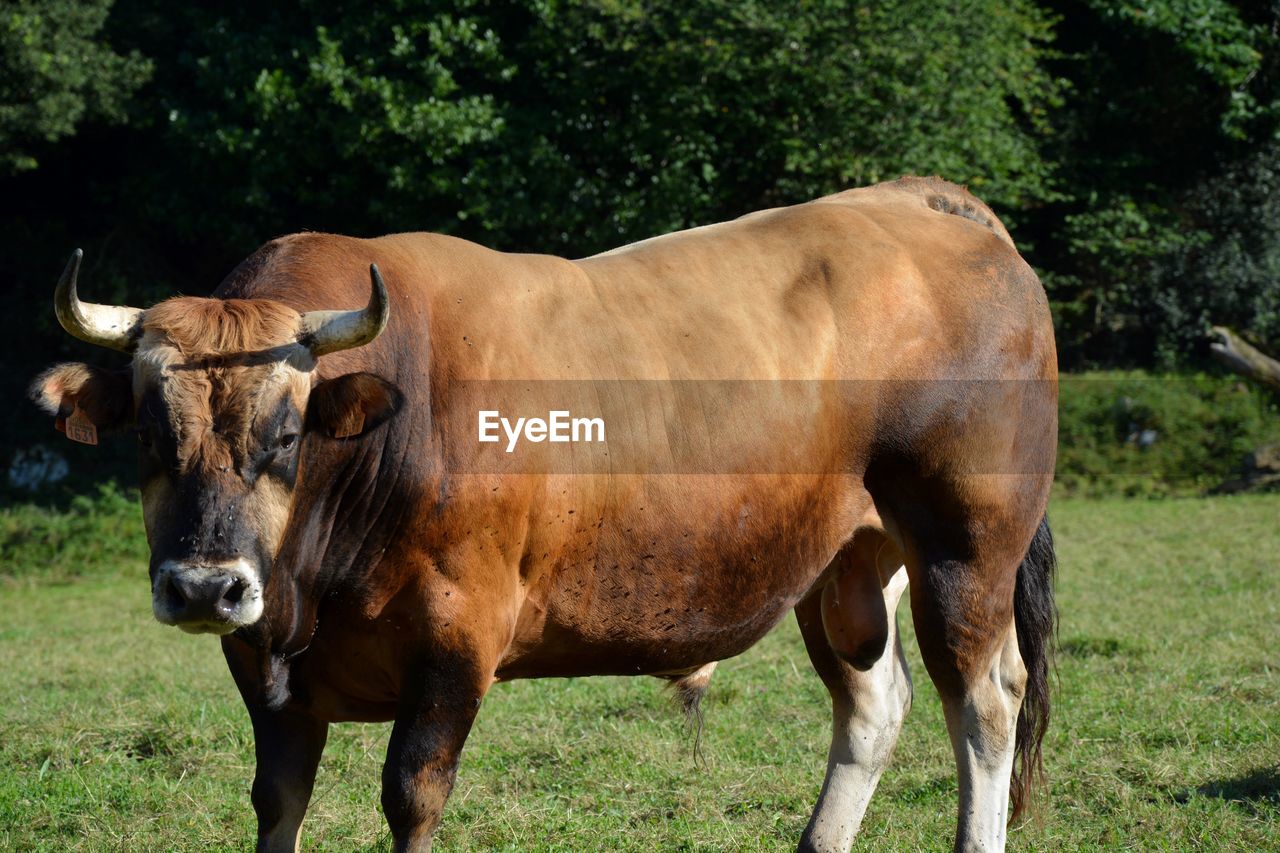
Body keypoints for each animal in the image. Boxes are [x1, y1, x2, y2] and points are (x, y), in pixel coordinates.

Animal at [32, 175, 1059, 845]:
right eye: (148, 436)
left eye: (286, 438)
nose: (206, 586)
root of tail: (917, 201)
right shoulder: (264, 666)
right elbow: (277, 800)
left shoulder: (457, 641)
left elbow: (411, 797)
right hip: (849, 564)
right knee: (875, 703)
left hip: (966, 546)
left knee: (985, 700)